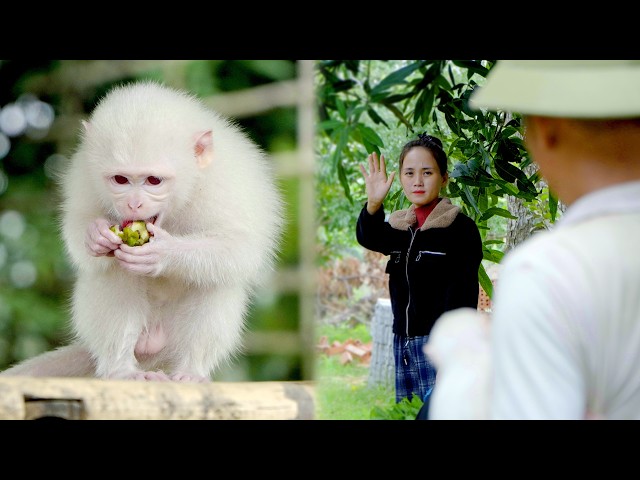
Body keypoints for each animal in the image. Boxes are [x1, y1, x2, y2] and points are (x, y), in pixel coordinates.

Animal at [0, 81, 284, 382]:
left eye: (153, 180)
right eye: (121, 179)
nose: (133, 204)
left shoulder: (227, 183)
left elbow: (240, 247)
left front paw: (163, 254)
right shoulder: (84, 173)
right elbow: (79, 225)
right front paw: (95, 235)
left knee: (216, 279)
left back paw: (191, 371)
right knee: (114, 269)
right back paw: (121, 369)